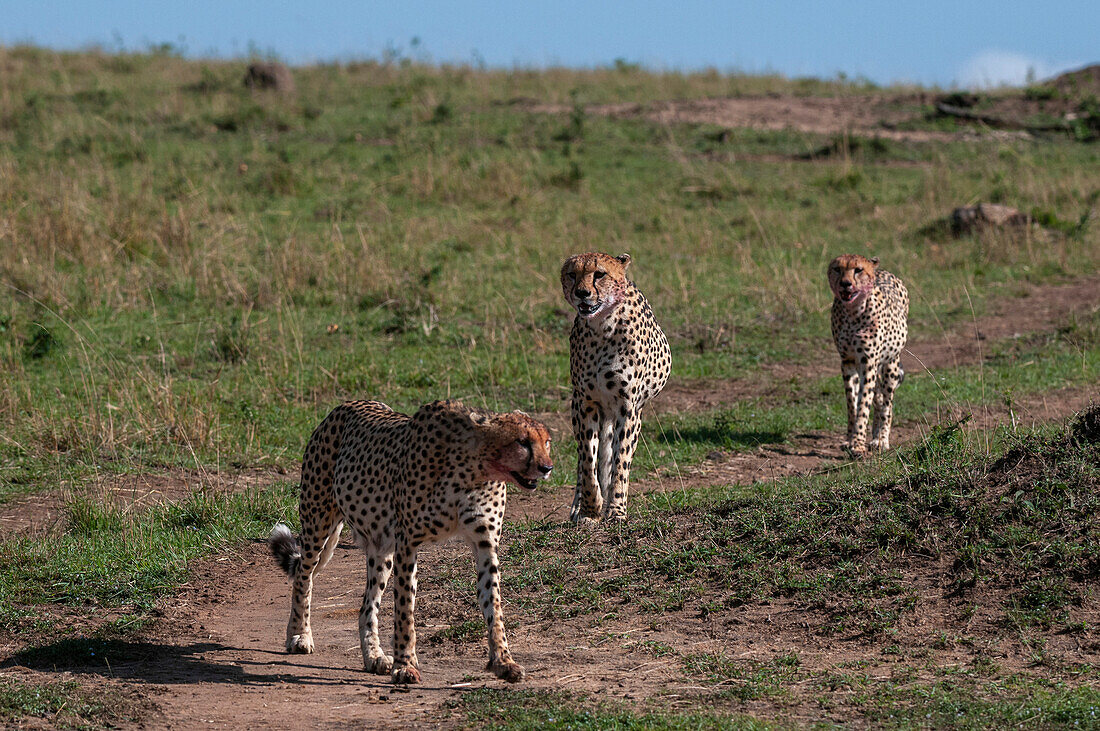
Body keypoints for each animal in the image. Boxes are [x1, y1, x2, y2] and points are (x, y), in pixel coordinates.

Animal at [270, 395, 554, 681]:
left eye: (547, 441)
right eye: (522, 441)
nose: (547, 467)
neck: (476, 471)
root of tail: (346, 405)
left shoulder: (485, 544)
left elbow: (493, 604)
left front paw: (503, 661)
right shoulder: (407, 542)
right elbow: (405, 608)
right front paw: (405, 664)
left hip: (381, 548)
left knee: (366, 607)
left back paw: (374, 656)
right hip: (318, 523)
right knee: (303, 576)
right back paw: (299, 635)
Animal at [558, 253, 668, 521]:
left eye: (600, 274)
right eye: (572, 274)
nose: (582, 293)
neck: (602, 326)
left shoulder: (628, 407)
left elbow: (620, 462)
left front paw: (616, 510)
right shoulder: (586, 403)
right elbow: (588, 461)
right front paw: (590, 509)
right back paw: (578, 507)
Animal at [827, 253, 910, 452]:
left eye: (858, 270)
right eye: (837, 269)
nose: (845, 284)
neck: (852, 312)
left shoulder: (868, 362)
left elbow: (864, 403)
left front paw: (857, 445)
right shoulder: (847, 361)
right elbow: (852, 404)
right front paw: (850, 439)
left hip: (890, 364)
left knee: (887, 402)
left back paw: (881, 439)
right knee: (878, 397)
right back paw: (874, 436)